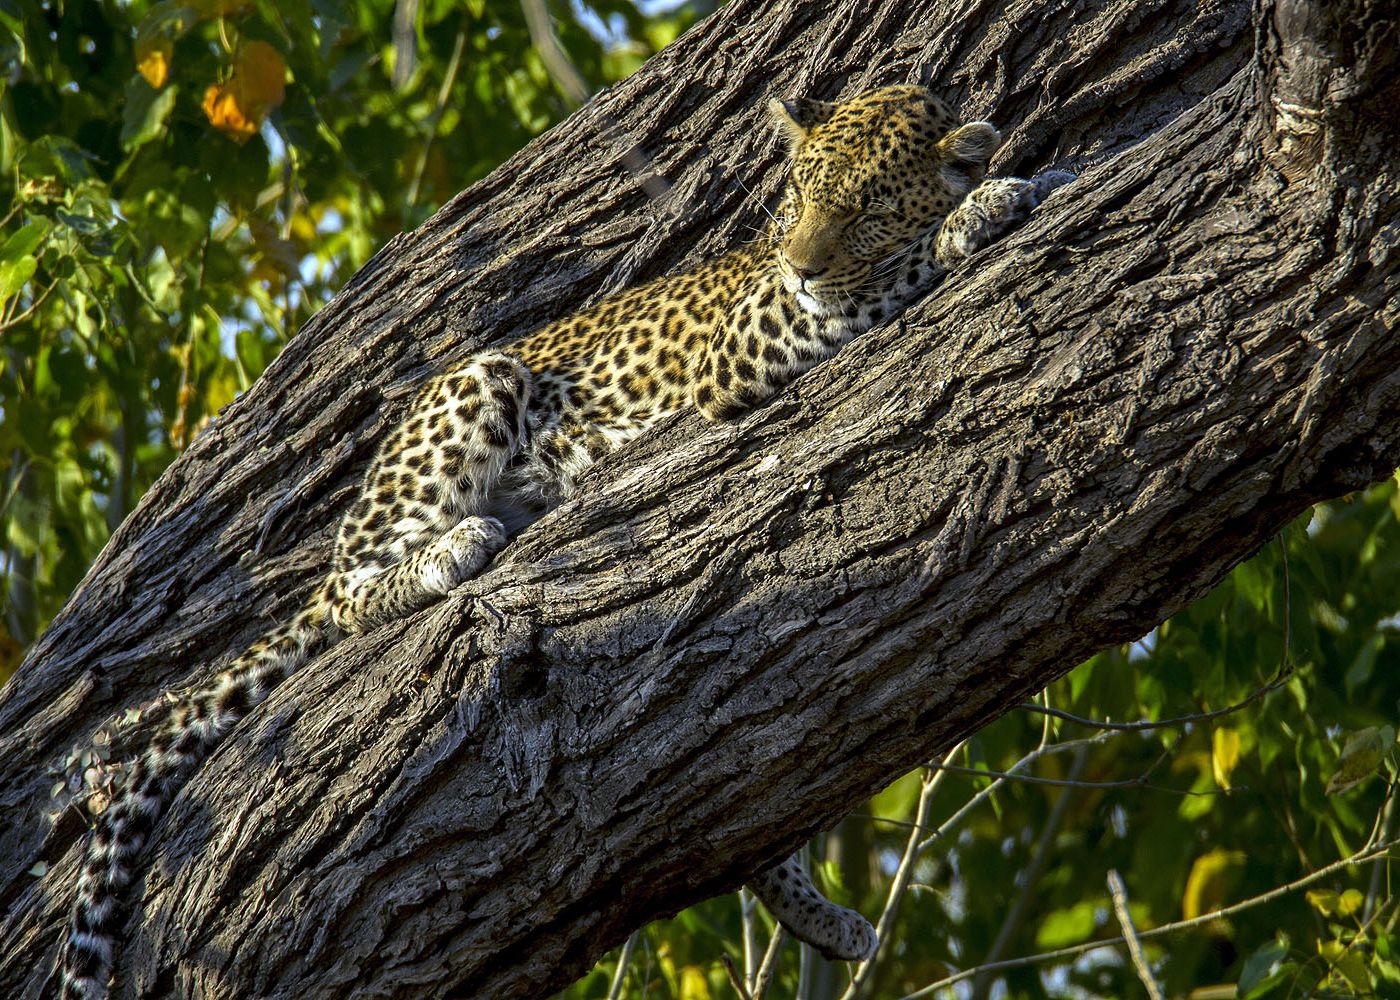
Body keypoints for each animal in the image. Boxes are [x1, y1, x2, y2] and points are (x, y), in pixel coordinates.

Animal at [51, 81, 1058, 991]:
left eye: (867, 207)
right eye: (804, 201)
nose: (804, 265)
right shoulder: (751, 339)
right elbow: (892, 275)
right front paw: (984, 207)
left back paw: (817, 915)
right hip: (474, 385)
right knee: (344, 596)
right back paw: (452, 548)